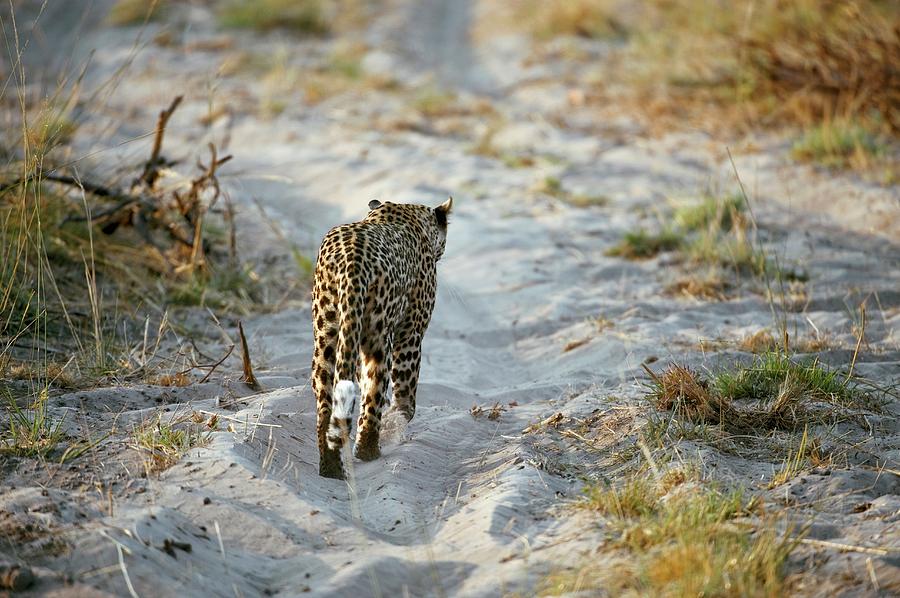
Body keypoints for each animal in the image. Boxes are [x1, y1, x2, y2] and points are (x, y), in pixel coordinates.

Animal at [312, 199, 454, 480]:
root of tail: (352, 262)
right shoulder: (411, 332)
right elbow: (405, 391)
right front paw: (398, 418)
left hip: (327, 335)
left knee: (326, 404)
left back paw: (331, 468)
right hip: (379, 339)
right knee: (373, 392)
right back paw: (368, 450)